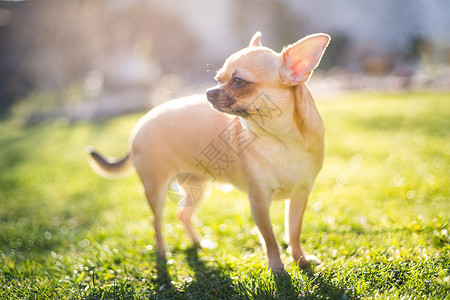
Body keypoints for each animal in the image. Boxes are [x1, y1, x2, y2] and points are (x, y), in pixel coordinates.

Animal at [89, 31, 330, 274]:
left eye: (239, 82)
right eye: (217, 80)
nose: (208, 92)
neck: (282, 141)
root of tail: (141, 122)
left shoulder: (299, 196)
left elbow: (293, 232)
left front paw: (301, 260)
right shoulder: (259, 201)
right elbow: (269, 238)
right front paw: (277, 268)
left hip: (197, 187)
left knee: (183, 214)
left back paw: (198, 243)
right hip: (156, 189)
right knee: (155, 221)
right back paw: (163, 253)